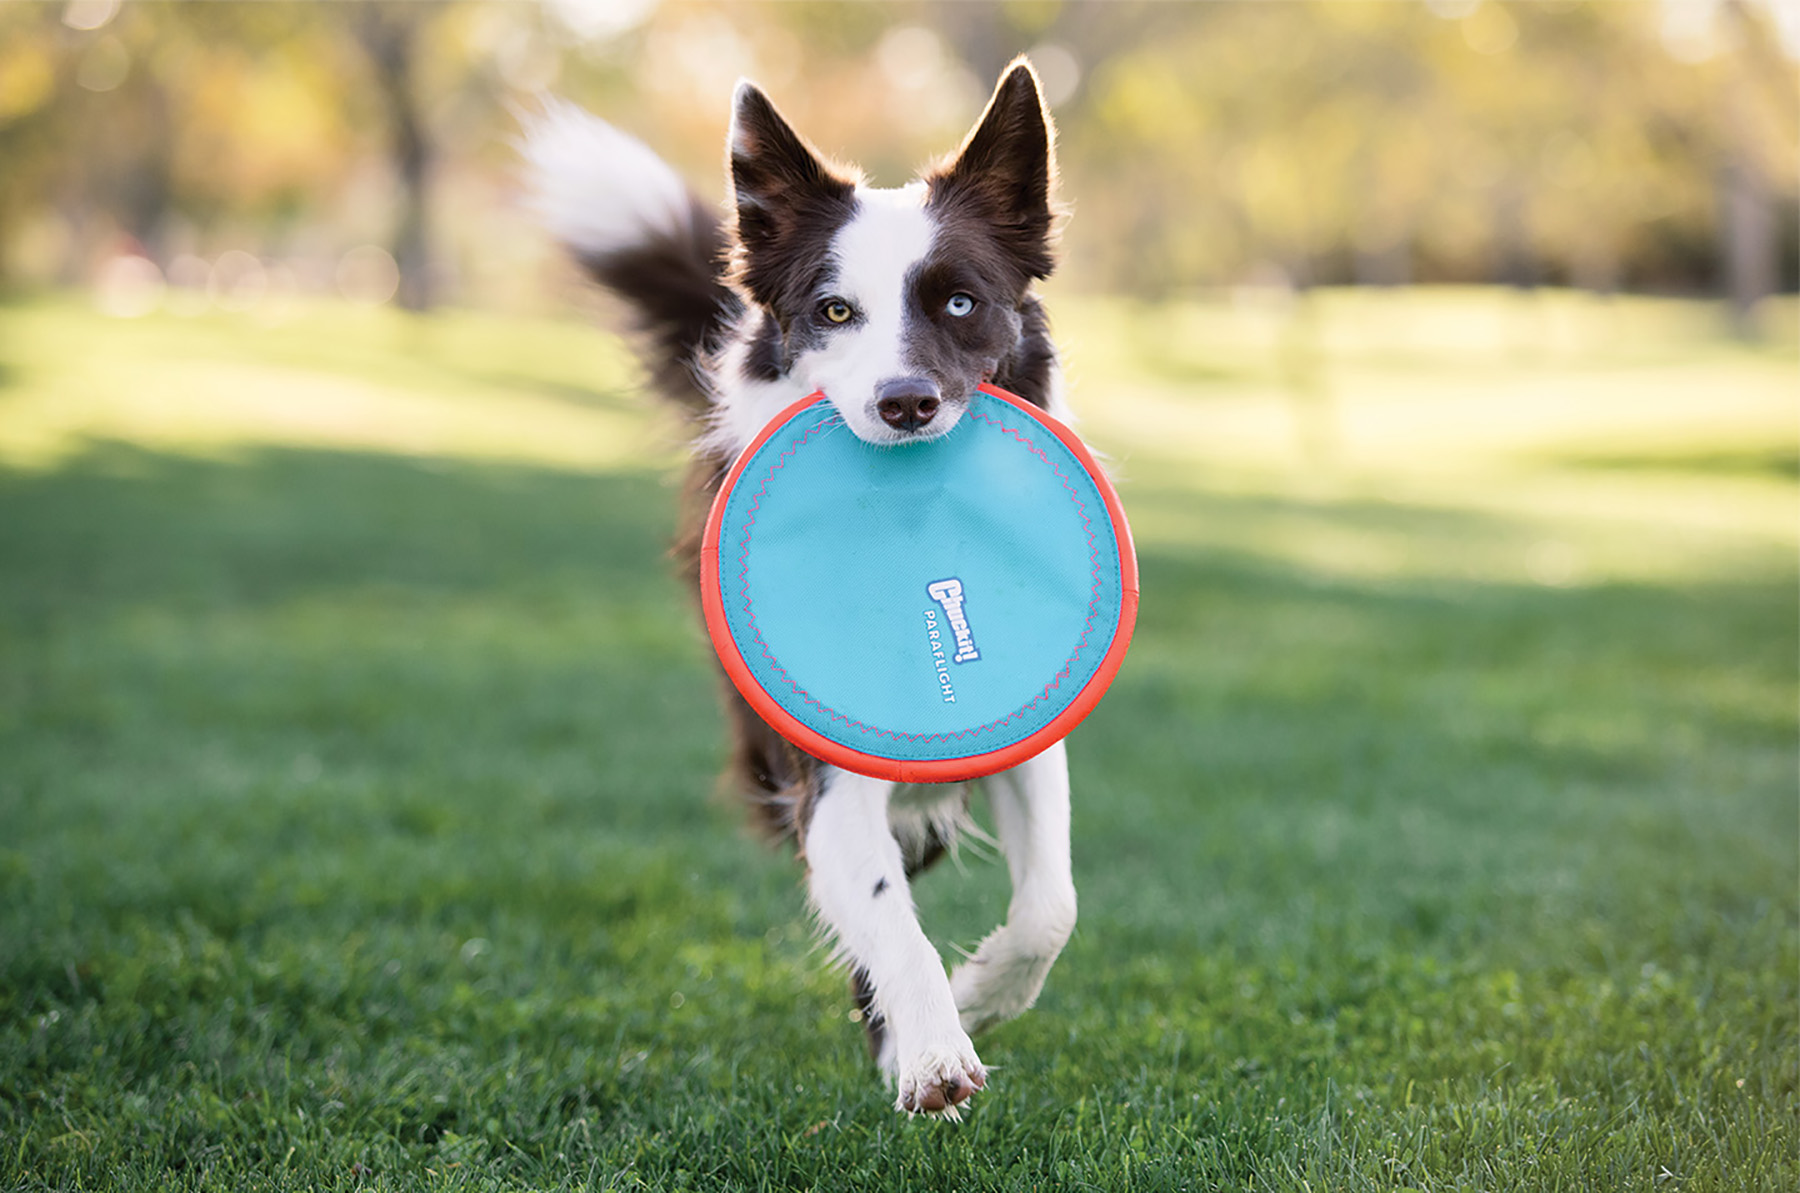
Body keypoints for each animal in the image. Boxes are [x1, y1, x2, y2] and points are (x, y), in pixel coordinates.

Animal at [525, 58, 1080, 1122]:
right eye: (833, 312)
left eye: (961, 304)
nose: (905, 403)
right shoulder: (820, 766)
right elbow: (887, 917)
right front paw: (932, 1050)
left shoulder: (1026, 727)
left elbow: (1050, 908)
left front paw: (980, 992)